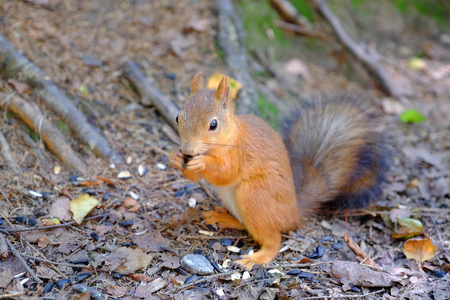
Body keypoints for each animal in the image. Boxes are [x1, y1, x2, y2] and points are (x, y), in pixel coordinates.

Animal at [171, 72, 388, 270]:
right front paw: (175, 157)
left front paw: (202, 163)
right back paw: (222, 217)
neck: (228, 136)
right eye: (177, 117)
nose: (187, 150)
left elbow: (226, 172)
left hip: (253, 196)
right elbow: (194, 176)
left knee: (273, 240)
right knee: (245, 224)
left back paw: (255, 258)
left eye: (213, 124)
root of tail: (294, 213)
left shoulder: (239, 153)